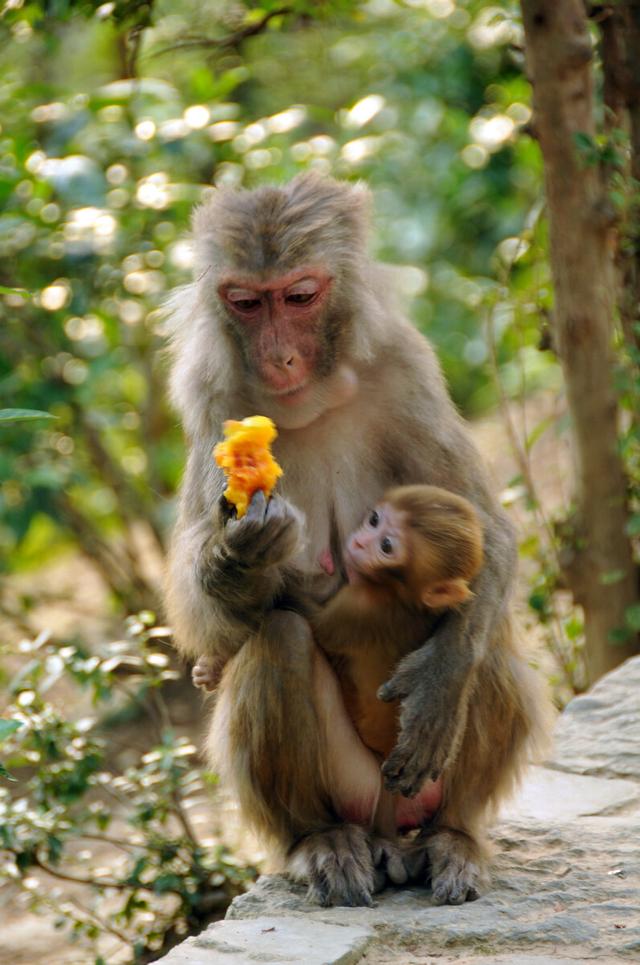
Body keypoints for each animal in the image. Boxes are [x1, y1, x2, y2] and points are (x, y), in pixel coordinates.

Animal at [168, 171, 552, 904]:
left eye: (298, 296)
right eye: (246, 302)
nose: (279, 355)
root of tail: (387, 827)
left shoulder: (405, 365)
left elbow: (488, 528)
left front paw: (440, 679)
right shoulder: (211, 398)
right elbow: (211, 628)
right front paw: (237, 558)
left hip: (417, 786)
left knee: (485, 641)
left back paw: (452, 836)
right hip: (350, 785)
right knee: (278, 640)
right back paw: (320, 840)